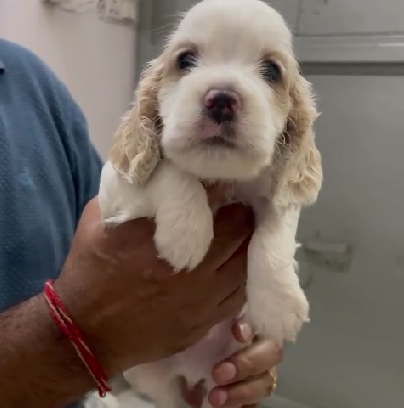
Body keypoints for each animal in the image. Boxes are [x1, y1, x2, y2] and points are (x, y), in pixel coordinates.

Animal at [97, 0, 322, 408]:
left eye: (272, 71)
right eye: (185, 60)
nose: (221, 98)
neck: (218, 176)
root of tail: (194, 373)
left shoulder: (276, 191)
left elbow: (276, 232)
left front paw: (279, 305)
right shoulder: (114, 187)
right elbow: (170, 168)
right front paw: (187, 234)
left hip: (225, 380)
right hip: (146, 372)